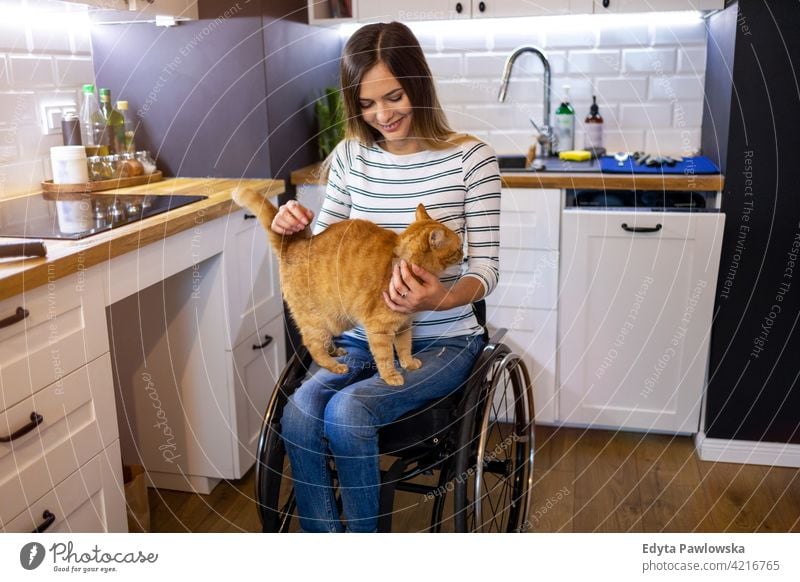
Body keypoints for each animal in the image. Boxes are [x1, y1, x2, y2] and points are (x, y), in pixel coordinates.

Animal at [231, 188, 462, 388]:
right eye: (457, 247)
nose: (464, 252)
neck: (403, 263)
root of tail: (294, 245)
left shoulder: (404, 324)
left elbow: (405, 347)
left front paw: (409, 363)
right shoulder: (379, 330)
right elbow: (386, 357)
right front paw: (391, 377)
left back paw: (336, 351)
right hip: (317, 322)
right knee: (312, 345)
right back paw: (334, 365)